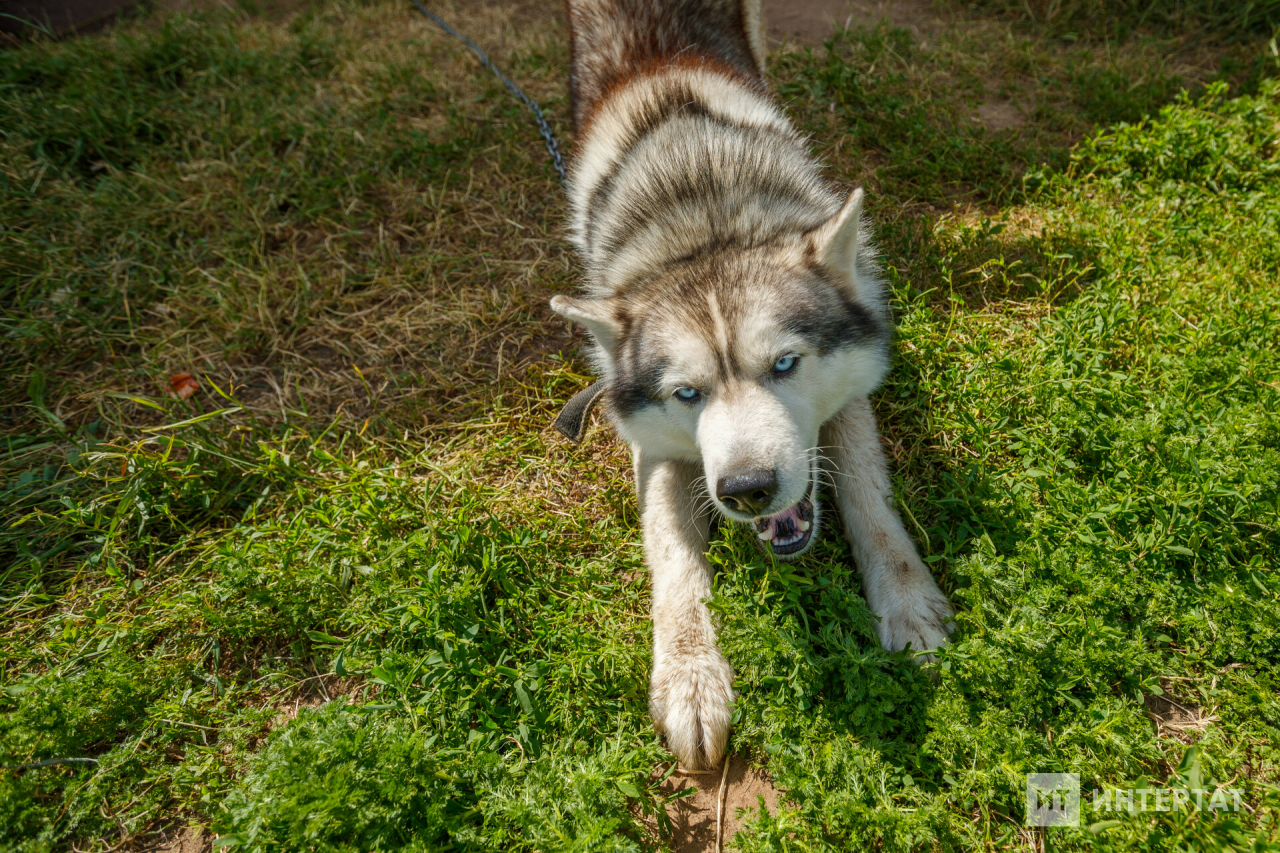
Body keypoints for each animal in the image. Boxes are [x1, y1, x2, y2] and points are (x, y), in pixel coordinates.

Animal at [552, 0, 962, 768]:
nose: (747, 489)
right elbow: (674, 561)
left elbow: (869, 497)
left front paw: (906, 600)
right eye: (688, 394)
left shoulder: (849, 396)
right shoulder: (658, 450)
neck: (705, 224)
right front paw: (690, 677)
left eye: (784, 364)